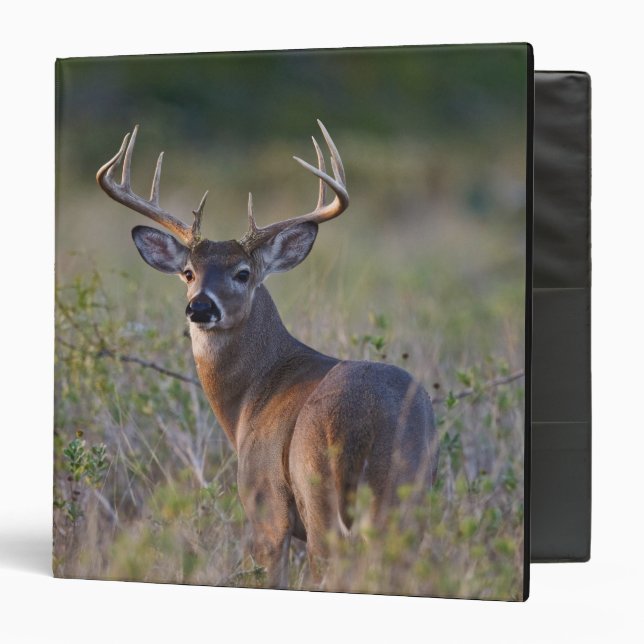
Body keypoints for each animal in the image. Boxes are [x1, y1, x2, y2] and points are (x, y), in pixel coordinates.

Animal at [97, 121, 439, 588]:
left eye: (243, 273)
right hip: (407, 498)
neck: (248, 398)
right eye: (188, 272)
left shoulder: (264, 506)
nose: (200, 307)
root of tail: (362, 420)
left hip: (318, 493)